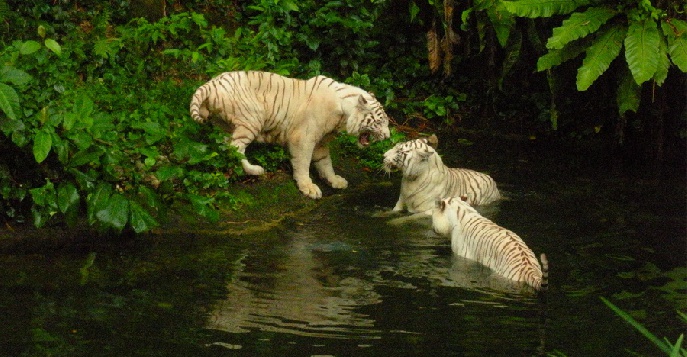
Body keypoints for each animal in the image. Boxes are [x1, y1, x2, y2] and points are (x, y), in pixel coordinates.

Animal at [191, 69, 390, 197]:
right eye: (380, 122)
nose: (388, 136)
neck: (342, 114)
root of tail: (211, 83)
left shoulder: (321, 142)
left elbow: (325, 163)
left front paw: (335, 180)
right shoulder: (303, 138)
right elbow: (303, 163)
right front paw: (308, 187)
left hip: (223, 125)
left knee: (225, 146)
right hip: (251, 120)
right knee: (235, 147)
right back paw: (255, 170)